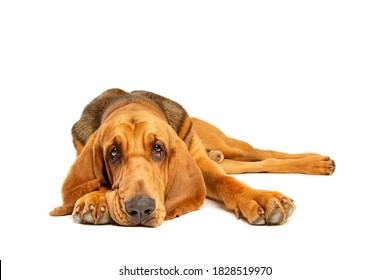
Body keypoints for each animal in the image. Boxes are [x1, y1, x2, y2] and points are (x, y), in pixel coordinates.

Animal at [49, 88, 336, 226]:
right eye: (113, 152)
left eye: (158, 148)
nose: (140, 208)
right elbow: (94, 183)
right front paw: (93, 200)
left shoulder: (201, 164)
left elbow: (228, 183)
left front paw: (260, 199)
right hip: (230, 160)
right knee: (260, 164)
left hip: (232, 146)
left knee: (266, 154)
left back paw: (317, 161)